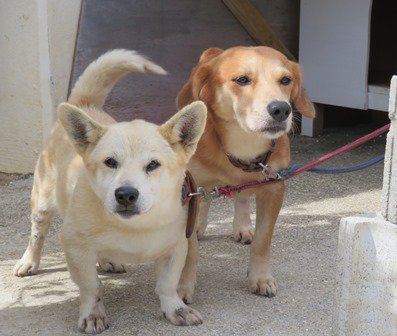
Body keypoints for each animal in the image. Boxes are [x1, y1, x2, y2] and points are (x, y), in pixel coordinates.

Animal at [12, 50, 206, 334]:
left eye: (153, 165)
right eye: (110, 162)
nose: (125, 194)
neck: (135, 227)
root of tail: (85, 105)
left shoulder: (176, 248)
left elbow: (168, 285)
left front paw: (175, 308)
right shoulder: (75, 247)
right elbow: (91, 287)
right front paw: (93, 314)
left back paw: (107, 260)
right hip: (42, 201)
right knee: (37, 234)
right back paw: (29, 261)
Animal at [175, 45, 314, 302]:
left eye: (286, 80)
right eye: (242, 79)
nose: (282, 109)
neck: (243, 145)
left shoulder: (273, 188)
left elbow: (262, 240)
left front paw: (260, 278)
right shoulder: (190, 190)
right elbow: (190, 250)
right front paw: (183, 286)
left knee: (241, 196)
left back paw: (242, 226)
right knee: (208, 198)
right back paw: (200, 226)